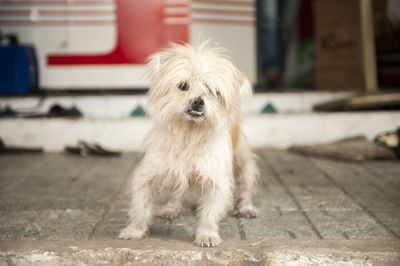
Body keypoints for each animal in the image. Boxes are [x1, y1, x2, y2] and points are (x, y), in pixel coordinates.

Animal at [117, 42, 258, 247]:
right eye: (183, 85)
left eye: (214, 91)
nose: (198, 101)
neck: (189, 134)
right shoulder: (147, 176)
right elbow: (140, 208)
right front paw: (135, 231)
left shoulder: (215, 182)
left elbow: (209, 214)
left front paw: (207, 235)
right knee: (177, 190)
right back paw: (171, 208)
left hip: (243, 161)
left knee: (246, 185)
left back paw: (247, 207)